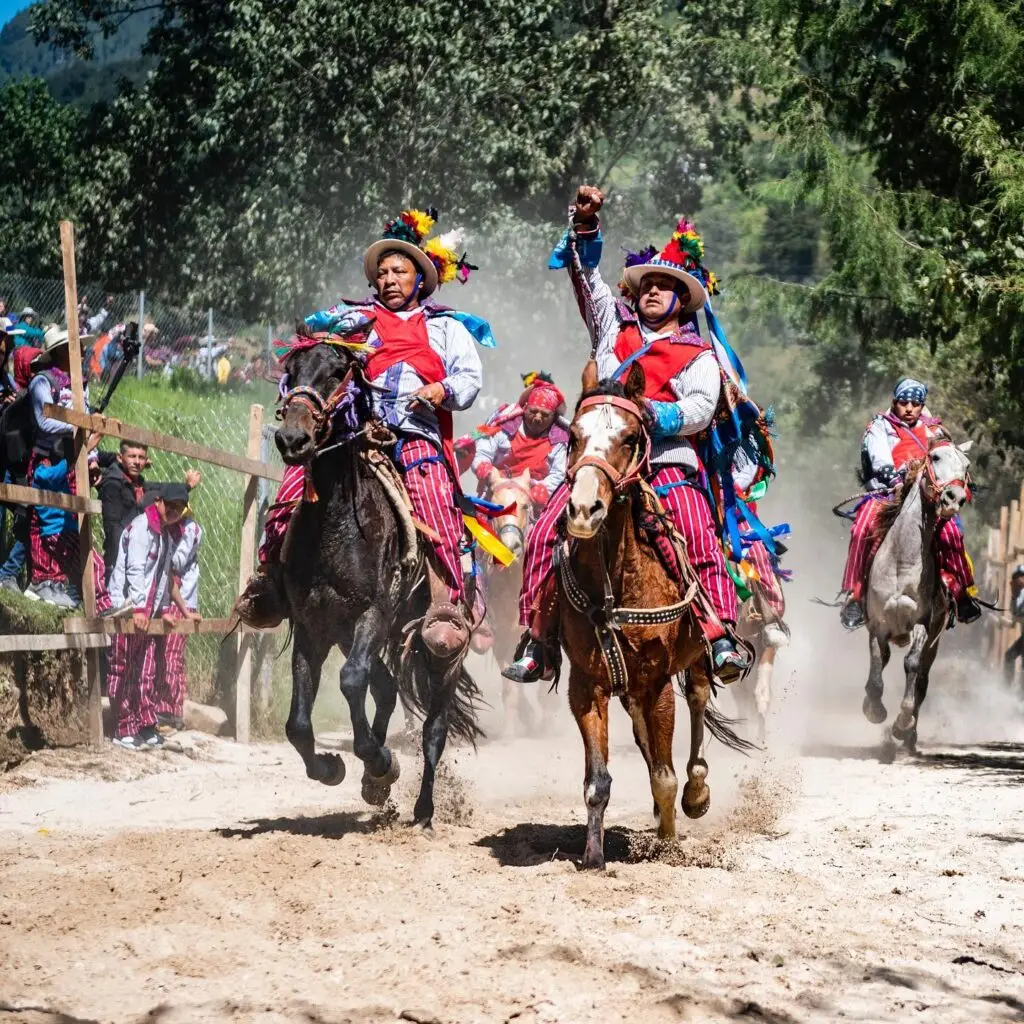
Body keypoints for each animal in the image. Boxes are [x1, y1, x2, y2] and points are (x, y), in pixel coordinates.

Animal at [272, 331, 479, 827]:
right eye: (291, 372)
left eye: (336, 372)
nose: (292, 438)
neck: (336, 524)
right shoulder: (313, 624)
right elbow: (298, 723)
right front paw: (334, 767)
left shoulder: (373, 614)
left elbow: (351, 680)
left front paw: (380, 759)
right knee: (385, 687)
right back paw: (374, 784)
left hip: (441, 650)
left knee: (434, 727)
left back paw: (422, 809)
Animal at [860, 436, 970, 757]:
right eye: (934, 457)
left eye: (966, 465)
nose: (954, 498)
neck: (902, 559)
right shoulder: (878, 623)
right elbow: (877, 663)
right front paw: (874, 709)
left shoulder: (922, 624)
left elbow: (911, 665)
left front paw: (901, 723)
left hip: (934, 640)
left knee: (921, 678)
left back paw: (909, 737)